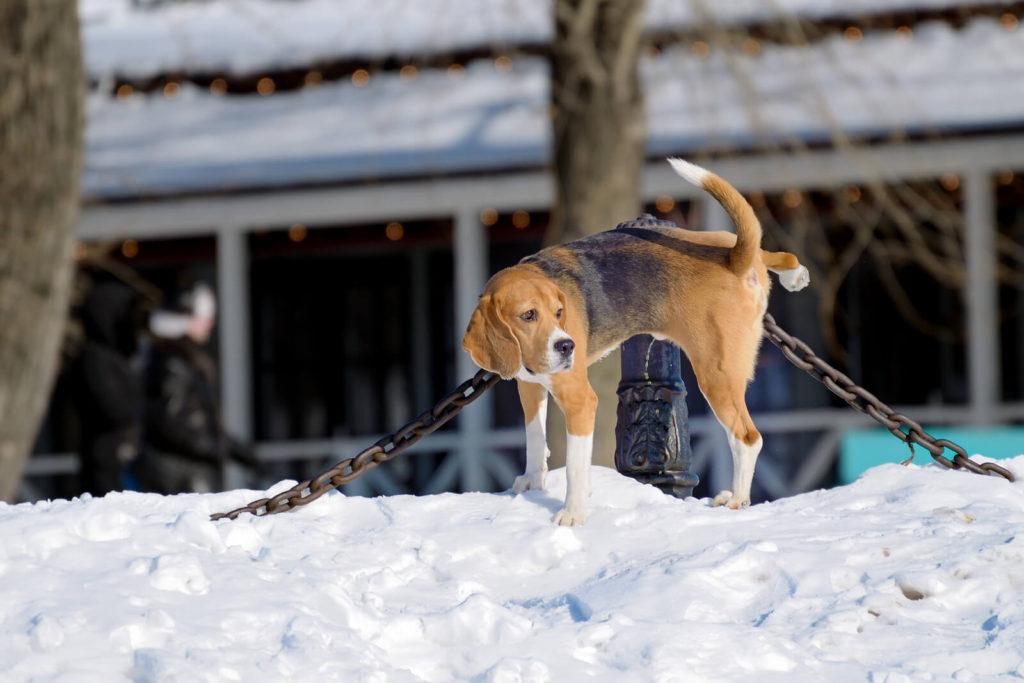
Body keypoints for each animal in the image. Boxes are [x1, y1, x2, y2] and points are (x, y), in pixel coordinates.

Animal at [464, 157, 806, 528]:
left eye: (558, 313)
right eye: (528, 315)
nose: (567, 347)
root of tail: (734, 258)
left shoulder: (580, 400)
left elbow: (574, 467)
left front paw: (572, 514)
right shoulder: (529, 387)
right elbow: (534, 437)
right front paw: (532, 481)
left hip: (716, 374)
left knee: (748, 439)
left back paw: (737, 498)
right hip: (723, 255)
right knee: (776, 254)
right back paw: (794, 273)